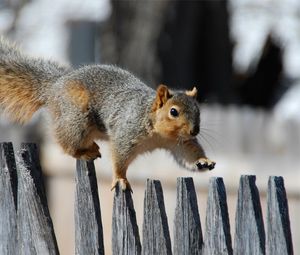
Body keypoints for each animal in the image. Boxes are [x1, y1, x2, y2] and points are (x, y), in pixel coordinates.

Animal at [0, 37, 216, 189]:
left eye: (198, 110)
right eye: (173, 112)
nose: (194, 131)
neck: (158, 132)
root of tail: (55, 85)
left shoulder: (179, 142)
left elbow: (187, 154)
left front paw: (203, 161)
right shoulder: (126, 133)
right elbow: (120, 158)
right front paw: (120, 179)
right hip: (76, 118)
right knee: (67, 144)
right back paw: (84, 151)